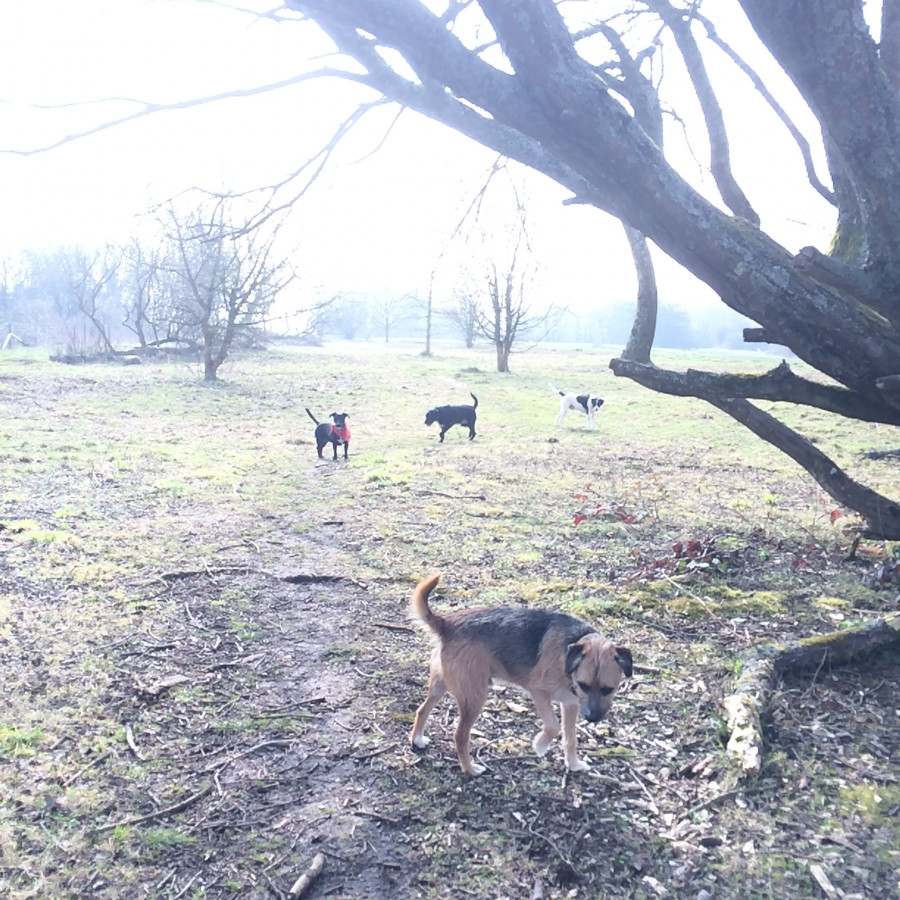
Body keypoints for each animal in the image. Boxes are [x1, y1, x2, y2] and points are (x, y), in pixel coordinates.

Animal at [410, 576, 632, 772]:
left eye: (608, 689)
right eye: (584, 685)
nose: (592, 718)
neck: (570, 650)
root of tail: (447, 624)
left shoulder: (570, 704)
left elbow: (571, 739)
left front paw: (574, 764)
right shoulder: (539, 692)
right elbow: (553, 726)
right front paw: (540, 745)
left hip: (440, 686)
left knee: (421, 710)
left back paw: (417, 739)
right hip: (474, 696)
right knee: (460, 735)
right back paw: (470, 769)